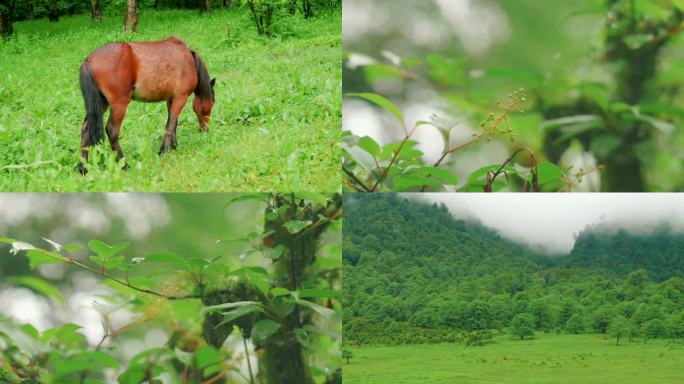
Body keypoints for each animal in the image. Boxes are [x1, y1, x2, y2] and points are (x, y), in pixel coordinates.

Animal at [77, 36, 214, 173]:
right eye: (212, 103)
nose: (205, 129)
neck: (189, 59)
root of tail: (89, 60)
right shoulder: (181, 98)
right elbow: (170, 126)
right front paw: (163, 151)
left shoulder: (171, 99)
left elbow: (173, 123)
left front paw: (173, 146)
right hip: (119, 105)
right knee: (112, 130)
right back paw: (124, 164)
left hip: (101, 103)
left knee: (86, 129)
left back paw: (83, 167)